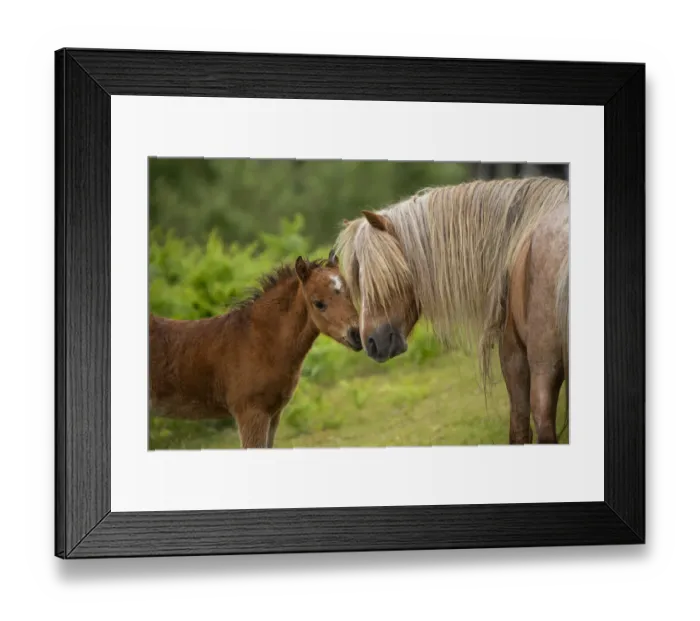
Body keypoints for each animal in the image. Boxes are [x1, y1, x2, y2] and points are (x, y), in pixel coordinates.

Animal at [148, 250, 363, 449]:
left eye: (351, 295)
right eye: (318, 303)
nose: (357, 335)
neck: (258, 342)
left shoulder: (273, 414)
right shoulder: (251, 414)